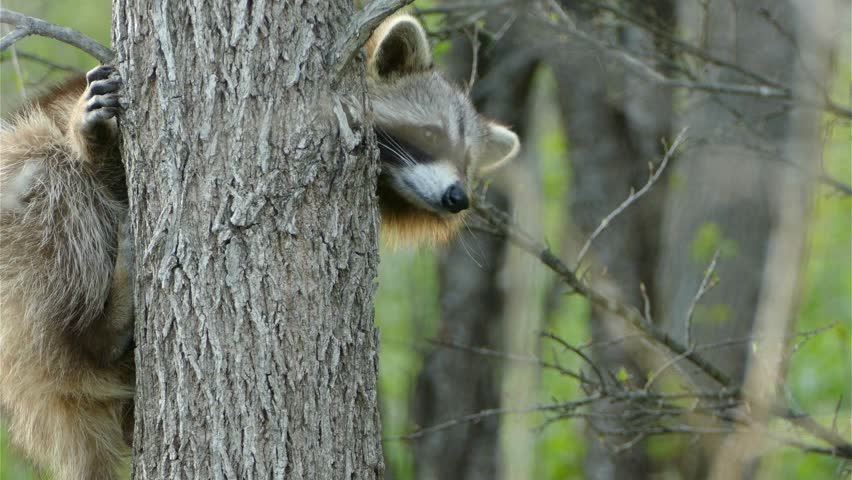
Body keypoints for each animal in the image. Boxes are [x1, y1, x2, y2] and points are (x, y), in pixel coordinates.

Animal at [0, 13, 518, 480]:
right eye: (431, 134)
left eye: (468, 163)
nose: (458, 198)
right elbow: (88, 152)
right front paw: (93, 137)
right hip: (19, 233)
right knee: (49, 175)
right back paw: (101, 328)